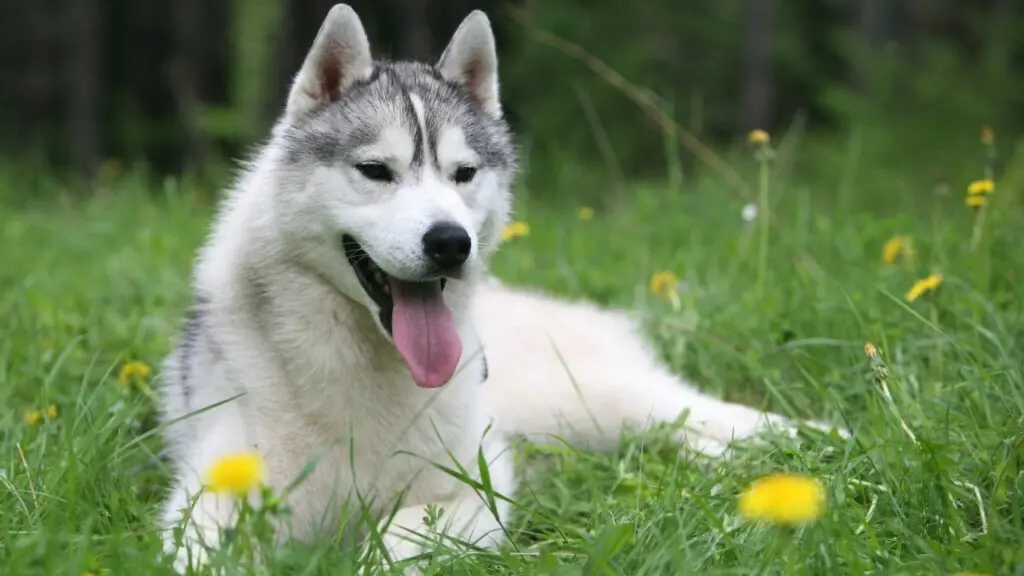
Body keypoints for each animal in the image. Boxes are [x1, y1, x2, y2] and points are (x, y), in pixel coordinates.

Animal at [159, 3, 843, 569]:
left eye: (464, 173)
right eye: (375, 171)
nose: (449, 242)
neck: (365, 372)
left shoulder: (471, 493)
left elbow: (398, 539)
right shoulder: (212, 497)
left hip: (588, 402)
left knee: (692, 410)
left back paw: (814, 441)